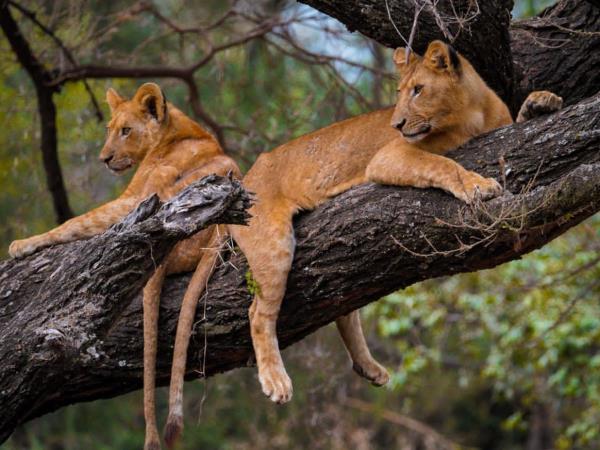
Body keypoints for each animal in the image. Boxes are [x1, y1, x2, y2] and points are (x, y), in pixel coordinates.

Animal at [8, 82, 240, 450]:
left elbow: (75, 221)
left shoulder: (133, 199)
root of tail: (218, 233)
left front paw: (21, 244)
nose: (104, 159)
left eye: (126, 131)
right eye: (109, 130)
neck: (175, 132)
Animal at [163, 40, 564, 448]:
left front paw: (542, 101)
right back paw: (276, 381)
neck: (473, 113)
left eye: (418, 90)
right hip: (273, 243)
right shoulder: (391, 156)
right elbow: (442, 165)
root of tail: (245, 178)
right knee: (259, 313)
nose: (396, 125)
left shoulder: (496, 126)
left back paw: (369, 368)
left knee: (344, 304)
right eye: (399, 93)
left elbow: (518, 119)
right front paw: (478, 185)